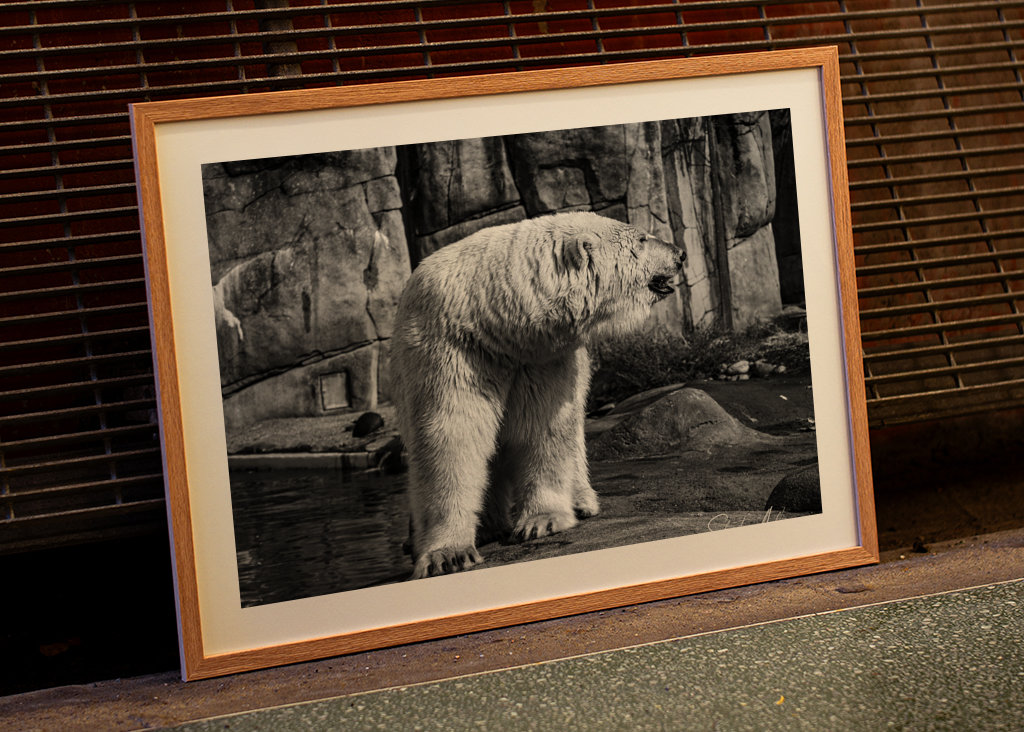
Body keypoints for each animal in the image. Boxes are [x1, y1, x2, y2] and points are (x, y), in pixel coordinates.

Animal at [391, 211, 685, 579]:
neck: (495, 322)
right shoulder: (452, 348)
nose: (680, 254)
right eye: (643, 239)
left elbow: (541, 425)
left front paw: (541, 521)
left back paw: (581, 502)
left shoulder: (542, 357)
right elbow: (453, 435)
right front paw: (448, 554)